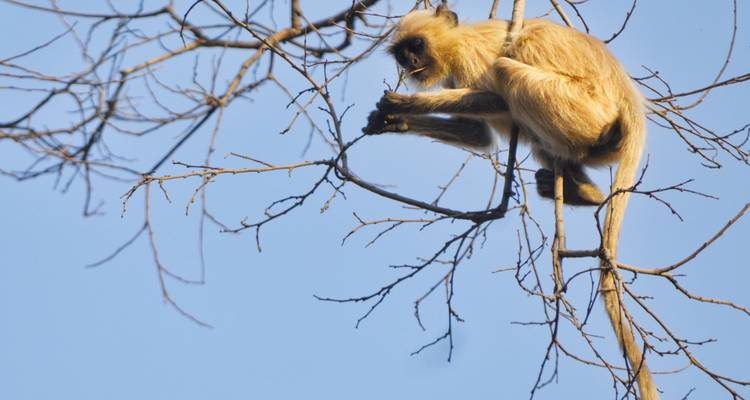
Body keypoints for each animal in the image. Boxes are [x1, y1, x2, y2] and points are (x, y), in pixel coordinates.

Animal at [363, 6, 656, 399]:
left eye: (417, 46)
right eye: (402, 53)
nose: (409, 62)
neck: (458, 42)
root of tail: (628, 100)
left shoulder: (470, 58)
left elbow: (496, 98)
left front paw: (406, 105)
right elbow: (475, 132)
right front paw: (395, 122)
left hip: (586, 109)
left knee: (509, 68)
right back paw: (583, 191)